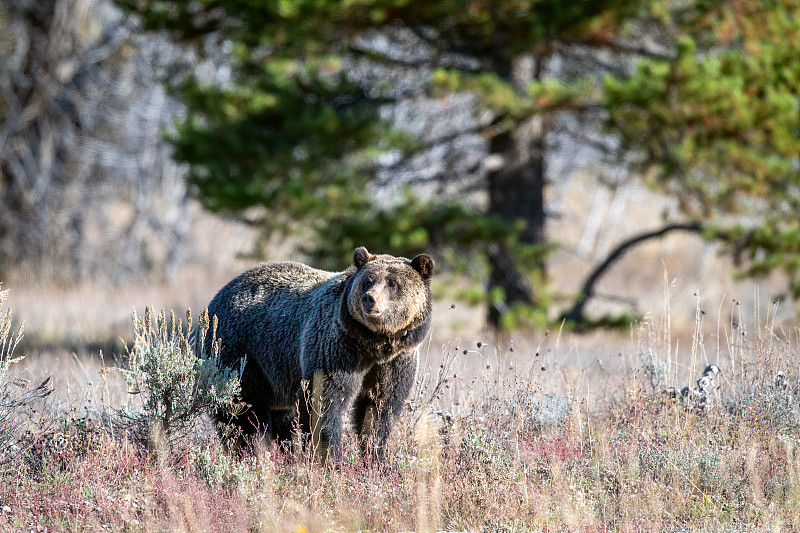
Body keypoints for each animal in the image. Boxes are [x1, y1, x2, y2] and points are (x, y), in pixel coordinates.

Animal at [203, 245, 434, 458]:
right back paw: (252, 452)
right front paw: (330, 456)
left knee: (280, 419)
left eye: (392, 283)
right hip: (239, 355)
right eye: (368, 281)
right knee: (243, 414)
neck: (373, 344)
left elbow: (379, 407)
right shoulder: (336, 347)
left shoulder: (395, 361)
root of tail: (216, 298)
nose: (369, 298)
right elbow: (324, 401)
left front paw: (376, 456)